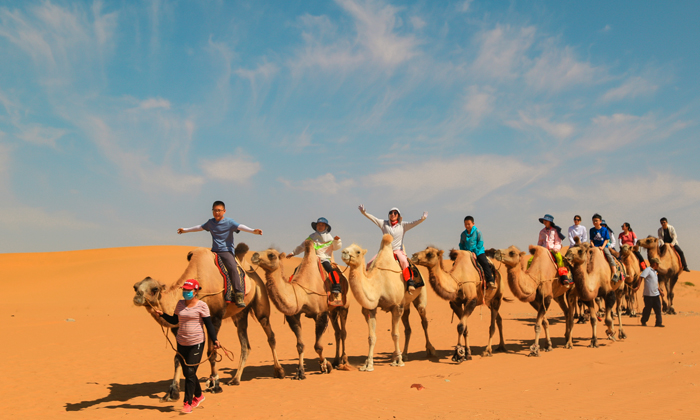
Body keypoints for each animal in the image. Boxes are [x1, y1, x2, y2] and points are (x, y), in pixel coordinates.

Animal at [131, 243, 284, 400]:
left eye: (154, 289)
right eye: (135, 287)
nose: (137, 298)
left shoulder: (214, 318)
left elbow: (212, 352)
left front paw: (215, 385)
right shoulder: (178, 327)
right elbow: (178, 357)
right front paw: (172, 392)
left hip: (261, 301)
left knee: (269, 334)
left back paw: (279, 371)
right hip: (240, 314)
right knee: (245, 344)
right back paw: (235, 380)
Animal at [250, 240, 352, 380]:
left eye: (271, 255)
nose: (254, 255)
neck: (302, 292)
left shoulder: (320, 313)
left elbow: (318, 346)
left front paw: (325, 366)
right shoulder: (294, 315)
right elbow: (300, 345)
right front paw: (300, 372)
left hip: (343, 306)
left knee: (343, 332)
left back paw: (344, 361)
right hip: (332, 311)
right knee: (337, 332)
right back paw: (336, 361)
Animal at [340, 235, 434, 372]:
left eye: (357, 251)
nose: (344, 252)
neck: (379, 283)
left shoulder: (396, 307)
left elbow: (395, 334)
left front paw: (398, 362)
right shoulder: (372, 308)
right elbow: (371, 337)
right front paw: (368, 365)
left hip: (420, 297)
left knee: (424, 321)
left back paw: (430, 350)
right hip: (405, 305)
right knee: (408, 328)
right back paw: (404, 354)